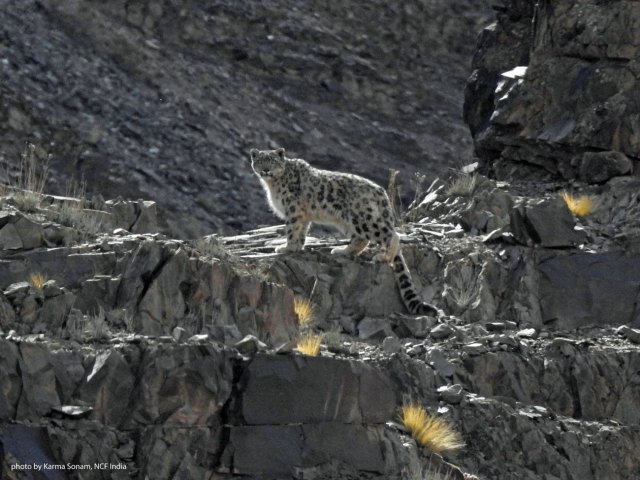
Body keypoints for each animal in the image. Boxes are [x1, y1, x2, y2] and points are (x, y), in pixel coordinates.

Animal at [249, 147, 437, 316]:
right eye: (261, 161)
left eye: (272, 161)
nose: (266, 170)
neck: (273, 185)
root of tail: (380, 191)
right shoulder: (303, 214)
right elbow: (301, 231)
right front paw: (295, 247)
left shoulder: (293, 209)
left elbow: (292, 229)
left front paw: (286, 247)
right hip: (349, 222)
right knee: (361, 239)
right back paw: (342, 251)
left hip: (360, 218)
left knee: (390, 235)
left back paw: (383, 257)